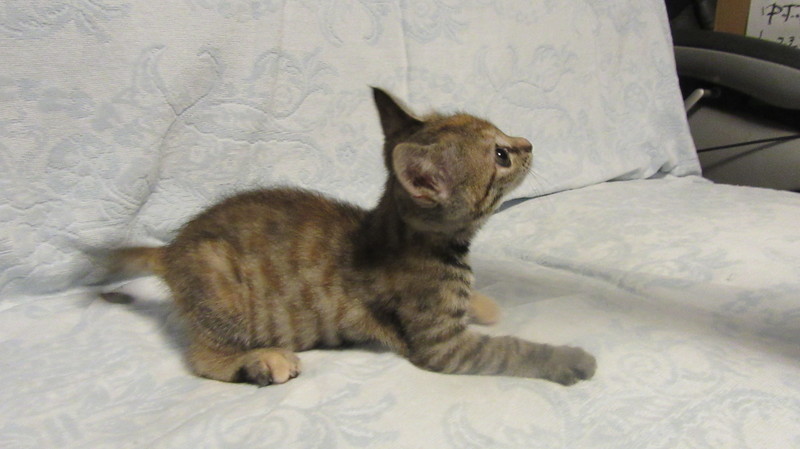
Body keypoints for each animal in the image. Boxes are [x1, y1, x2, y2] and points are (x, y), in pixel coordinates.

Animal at [105, 88, 596, 386]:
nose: (528, 143)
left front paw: (483, 303)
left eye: (505, 138)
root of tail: (173, 248)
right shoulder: (443, 347)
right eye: (500, 156)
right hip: (218, 283)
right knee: (204, 359)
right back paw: (263, 360)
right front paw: (568, 359)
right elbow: (511, 350)